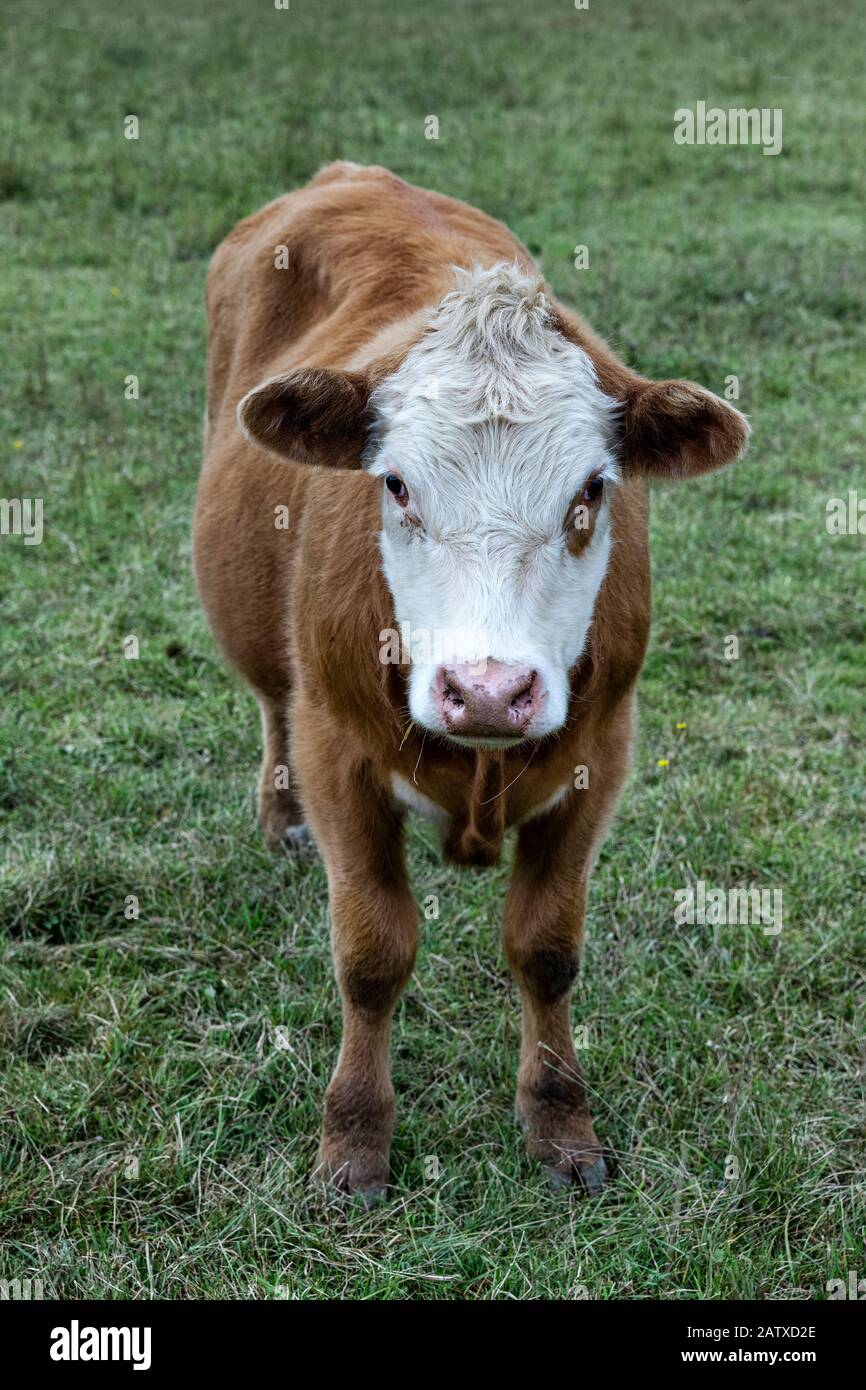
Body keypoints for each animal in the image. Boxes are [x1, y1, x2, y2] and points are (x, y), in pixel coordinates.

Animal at [193, 162, 748, 1204]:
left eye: (592, 491)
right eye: (396, 485)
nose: (488, 691)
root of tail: (352, 174)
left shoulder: (599, 757)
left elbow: (547, 950)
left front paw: (560, 1124)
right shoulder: (338, 754)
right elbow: (372, 955)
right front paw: (354, 1141)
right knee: (271, 701)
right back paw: (281, 820)